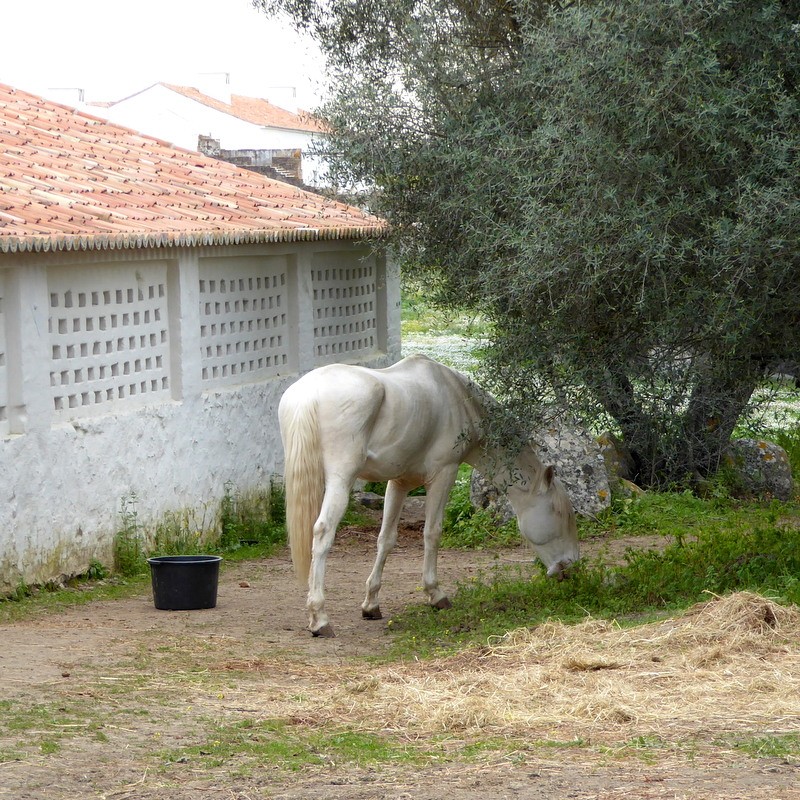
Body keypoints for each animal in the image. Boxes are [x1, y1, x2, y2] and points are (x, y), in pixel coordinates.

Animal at [278, 356, 580, 636]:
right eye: (561, 514)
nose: (571, 567)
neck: (457, 397)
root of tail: (309, 392)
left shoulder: (399, 483)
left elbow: (386, 540)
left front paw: (371, 604)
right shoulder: (444, 474)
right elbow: (432, 533)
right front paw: (436, 595)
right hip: (340, 481)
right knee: (322, 533)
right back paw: (320, 619)